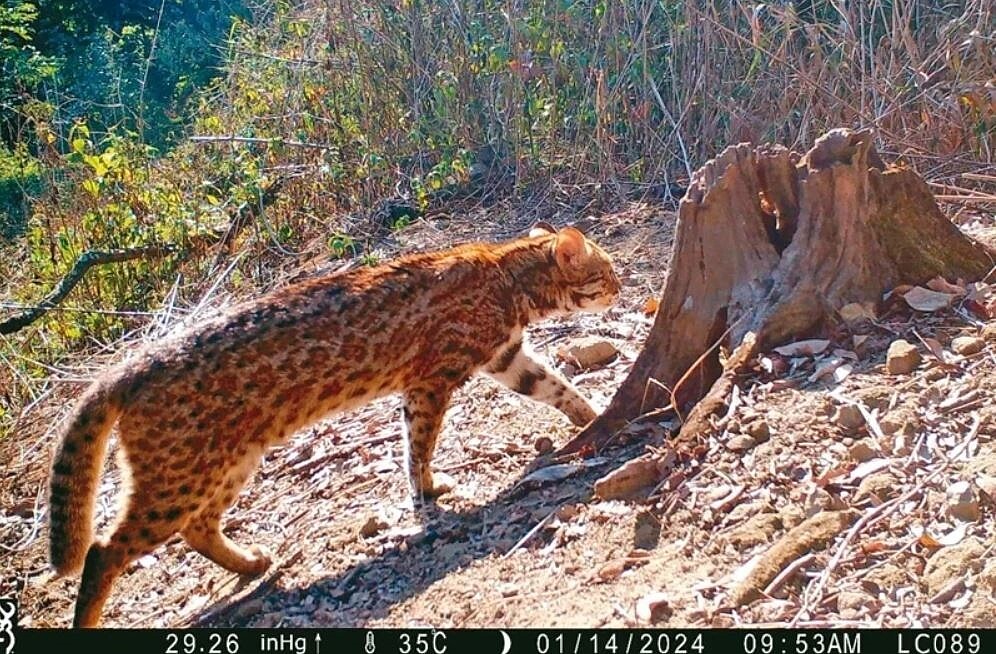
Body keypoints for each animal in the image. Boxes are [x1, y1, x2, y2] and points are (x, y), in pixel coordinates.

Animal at [50, 226, 620, 632]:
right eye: (607, 271)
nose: (621, 287)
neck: (507, 276)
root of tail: (127, 368)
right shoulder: (430, 381)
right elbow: (418, 446)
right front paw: (427, 492)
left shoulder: (506, 358)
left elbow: (557, 386)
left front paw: (593, 415)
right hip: (180, 477)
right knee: (104, 551)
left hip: (229, 461)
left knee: (198, 526)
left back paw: (251, 565)